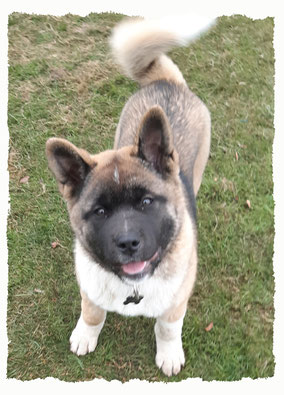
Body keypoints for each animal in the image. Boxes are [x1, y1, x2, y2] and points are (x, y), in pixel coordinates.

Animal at [46, 15, 214, 376]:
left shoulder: (176, 302)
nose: (127, 243)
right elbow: (92, 312)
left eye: (146, 202)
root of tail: (166, 82)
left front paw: (169, 353)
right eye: (100, 212)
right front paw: (85, 335)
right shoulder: (90, 287)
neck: (133, 287)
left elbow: (167, 327)